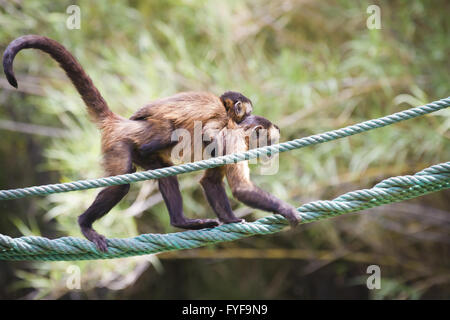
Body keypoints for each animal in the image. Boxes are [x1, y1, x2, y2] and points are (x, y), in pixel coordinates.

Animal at [3, 34, 300, 250]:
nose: (269, 151)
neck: (234, 124)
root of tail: (122, 123)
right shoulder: (232, 138)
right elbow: (240, 188)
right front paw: (285, 209)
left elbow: (210, 182)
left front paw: (229, 219)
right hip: (119, 144)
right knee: (123, 179)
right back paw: (85, 225)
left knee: (164, 172)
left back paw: (181, 222)